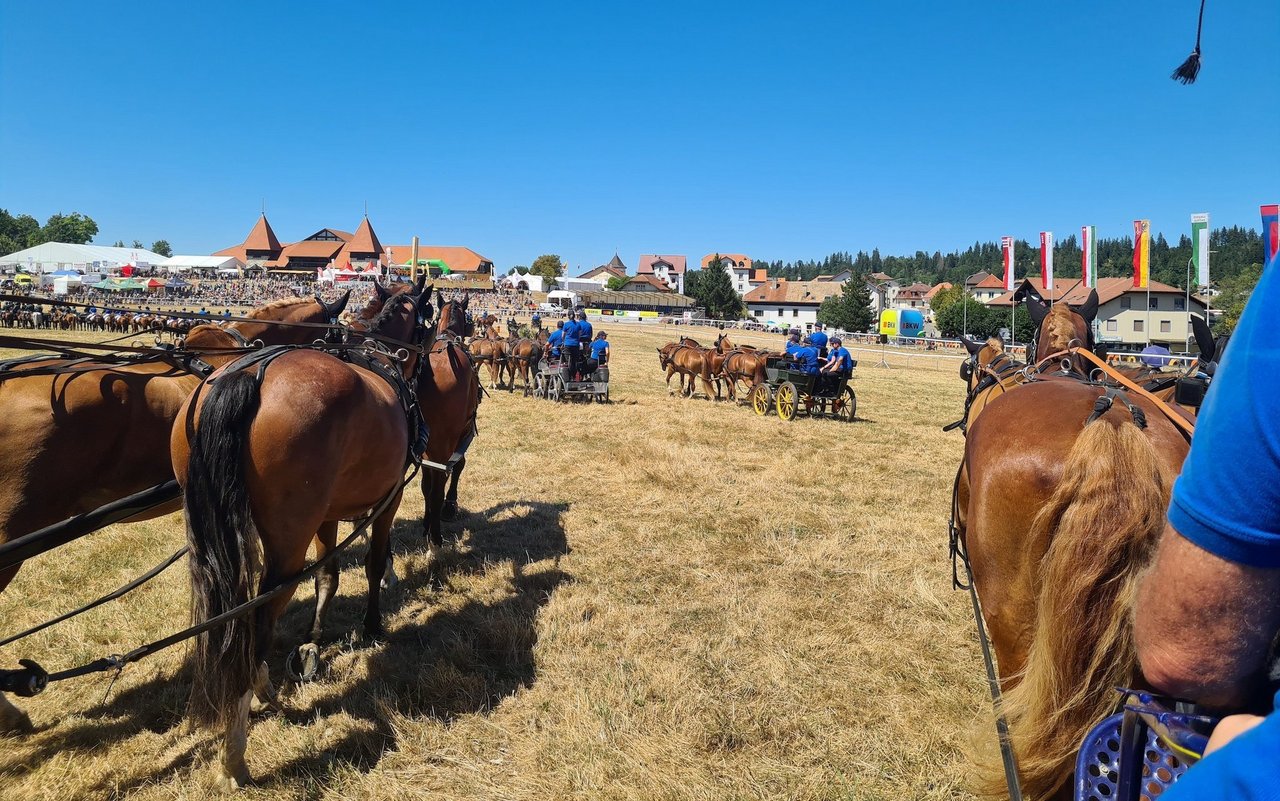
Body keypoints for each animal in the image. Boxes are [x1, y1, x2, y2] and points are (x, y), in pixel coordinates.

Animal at [170, 277, 432, 788]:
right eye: (433, 315)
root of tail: (244, 376)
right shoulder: (388, 499)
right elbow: (373, 564)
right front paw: (372, 625)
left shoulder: (328, 515)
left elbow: (328, 575)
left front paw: (314, 638)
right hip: (287, 547)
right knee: (257, 620)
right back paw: (237, 745)